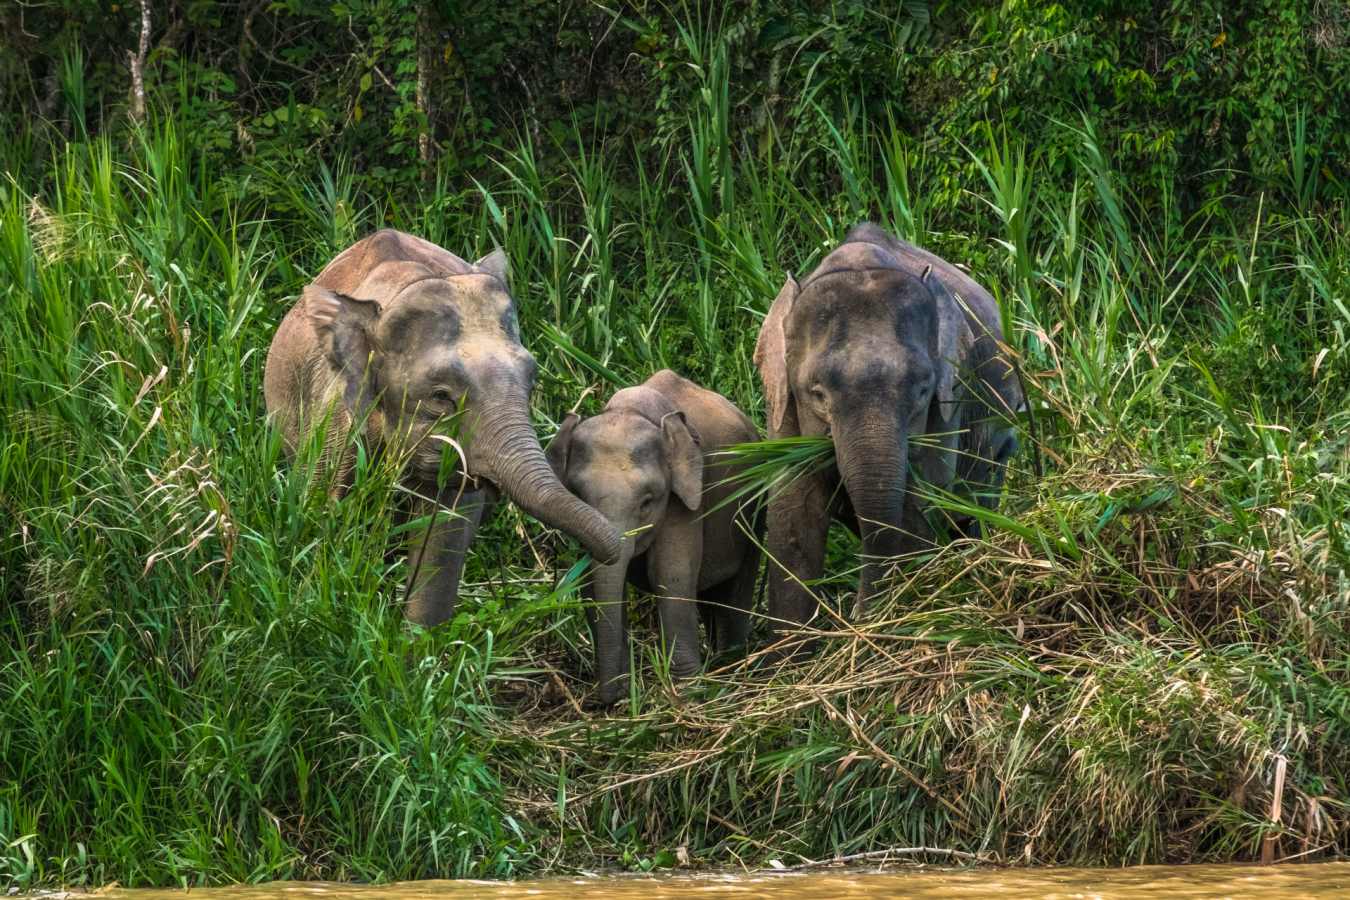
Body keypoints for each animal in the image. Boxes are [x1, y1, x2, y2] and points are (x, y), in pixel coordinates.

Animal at [264, 228, 622, 625]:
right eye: (440, 396)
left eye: (532, 381)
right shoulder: (335, 418)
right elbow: (324, 508)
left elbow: (442, 538)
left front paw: (417, 636)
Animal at [545, 369, 762, 705]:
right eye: (578, 494)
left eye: (647, 502)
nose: (607, 700)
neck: (632, 410)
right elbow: (592, 586)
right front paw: (623, 691)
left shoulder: (684, 498)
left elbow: (671, 575)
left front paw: (687, 692)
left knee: (736, 588)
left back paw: (732, 662)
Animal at [754, 222, 1023, 632]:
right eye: (817, 393)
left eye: (923, 389)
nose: (856, 617)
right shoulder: (782, 406)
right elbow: (793, 516)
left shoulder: (949, 400)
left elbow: (918, 506)